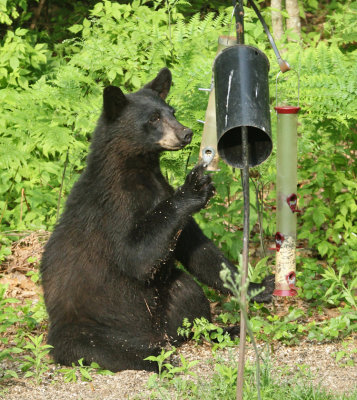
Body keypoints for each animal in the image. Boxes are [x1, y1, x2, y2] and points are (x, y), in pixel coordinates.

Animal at [40, 68, 272, 372]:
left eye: (171, 111)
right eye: (153, 118)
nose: (186, 133)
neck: (139, 170)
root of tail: (154, 334)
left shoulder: (165, 196)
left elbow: (197, 249)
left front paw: (258, 287)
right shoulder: (113, 206)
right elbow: (135, 255)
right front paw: (193, 187)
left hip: (167, 304)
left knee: (188, 294)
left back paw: (220, 330)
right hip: (85, 327)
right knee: (103, 349)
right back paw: (155, 356)